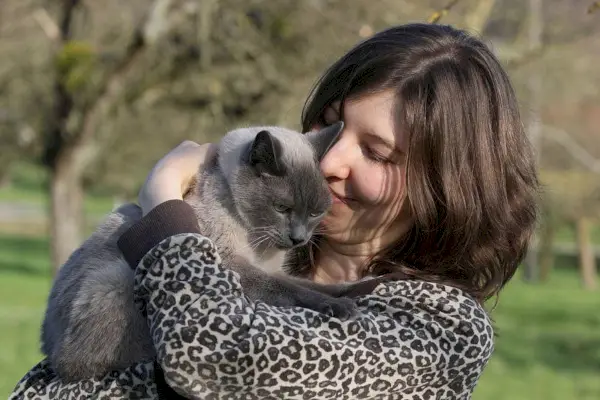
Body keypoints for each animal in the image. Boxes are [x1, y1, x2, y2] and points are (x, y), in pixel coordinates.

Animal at [41, 121, 360, 382]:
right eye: (282, 208)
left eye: (316, 213)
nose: (299, 238)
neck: (260, 246)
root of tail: (48, 343)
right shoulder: (234, 266)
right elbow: (290, 289)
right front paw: (341, 308)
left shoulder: (269, 269)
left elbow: (307, 284)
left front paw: (355, 291)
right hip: (118, 277)